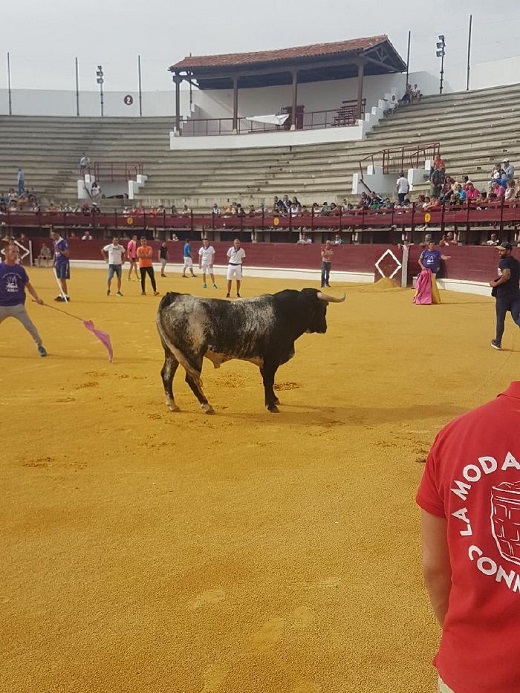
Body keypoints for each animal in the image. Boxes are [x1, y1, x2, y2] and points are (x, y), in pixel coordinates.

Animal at [156, 286, 348, 410]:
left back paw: (172, 405)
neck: (285, 313)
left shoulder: (265, 361)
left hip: (172, 353)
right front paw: (271, 406)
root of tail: (173, 297)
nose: (324, 327)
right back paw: (206, 405)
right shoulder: (271, 359)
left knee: (167, 375)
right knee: (191, 379)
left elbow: (267, 380)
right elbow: (269, 380)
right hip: (193, 354)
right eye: (323, 308)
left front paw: (274, 400)